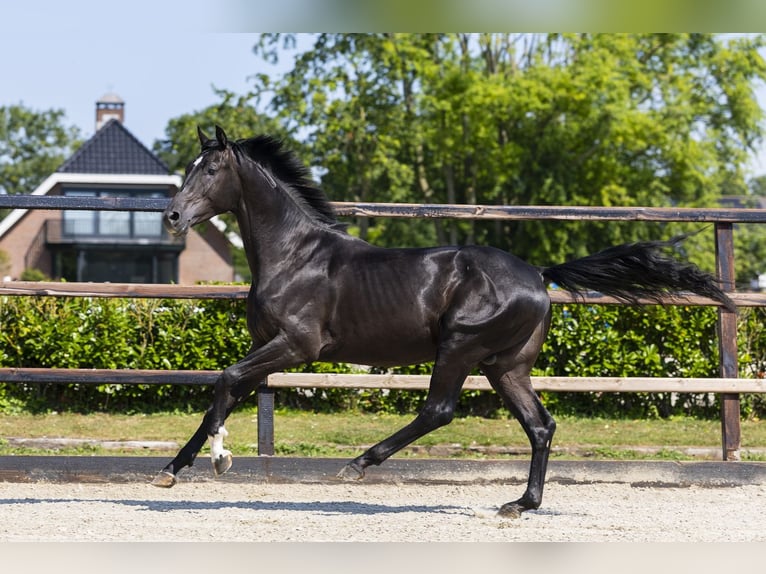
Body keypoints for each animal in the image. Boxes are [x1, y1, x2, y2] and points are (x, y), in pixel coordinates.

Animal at [152, 125, 735, 518]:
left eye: (210, 170)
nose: (173, 216)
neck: (295, 255)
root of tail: (537, 273)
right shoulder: (270, 347)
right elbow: (226, 392)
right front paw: (175, 470)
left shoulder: (297, 345)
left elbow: (225, 380)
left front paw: (214, 462)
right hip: (506, 367)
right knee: (540, 425)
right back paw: (520, 504)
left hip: (459, 346)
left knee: (439, 409)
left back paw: (358, 464)